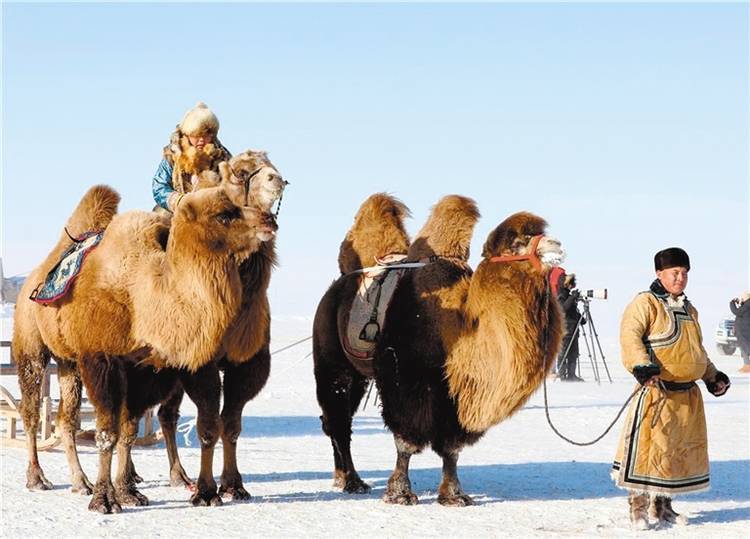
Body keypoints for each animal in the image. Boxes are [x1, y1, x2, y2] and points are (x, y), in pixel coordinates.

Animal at [12, 181, 280, 516]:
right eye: (224, 215)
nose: (269, 219)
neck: (142, 295)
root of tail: (36, 276)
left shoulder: (149, 366)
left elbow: (134, 429)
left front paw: (130, 492)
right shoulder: (102, 358)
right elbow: (108, 433)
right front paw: (105, 499)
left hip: (68, 361)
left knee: (67, 418)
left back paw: (81, 481)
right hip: (31, 343)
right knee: (32, 409)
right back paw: (38, 478)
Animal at [312, 197, 564, 506]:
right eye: (518, 241)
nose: (556, 245)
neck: (457, 329)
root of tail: (335, 287)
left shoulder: (455, 392)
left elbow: (451, 449)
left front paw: (455, 495)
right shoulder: (406, 380)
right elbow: (406, 441)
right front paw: (400, 494)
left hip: (360, 375)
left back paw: (341, 477)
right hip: (333, 362)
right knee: (338, 420)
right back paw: (352, 481)